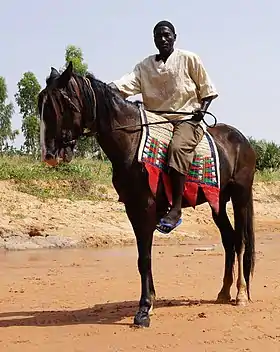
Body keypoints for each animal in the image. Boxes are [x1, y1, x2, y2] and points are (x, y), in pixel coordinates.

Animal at [38, 62, 256, 328]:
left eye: (63, 105)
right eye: (42, 105)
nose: (49, 154)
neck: (131, 142)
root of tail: (243, 140)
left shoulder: (146, 206)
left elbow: (145, 258)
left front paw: (143, 310)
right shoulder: (132, 208)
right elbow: (143, 258)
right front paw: (149, 302)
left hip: (241, 196)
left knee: (241, 240)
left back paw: (241, 294)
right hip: (218, 202)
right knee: (229, 239)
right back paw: (224, 292)